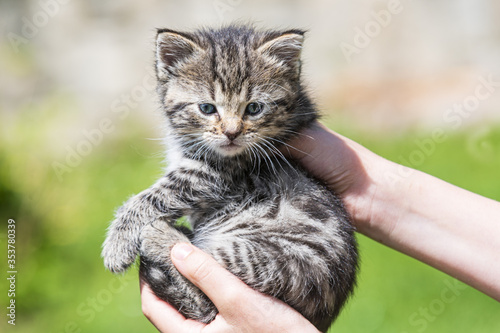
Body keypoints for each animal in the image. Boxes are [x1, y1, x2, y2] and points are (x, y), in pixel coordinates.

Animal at [101, 24, 358, 330]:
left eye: (254, 108)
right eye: (207, 108)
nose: (232, 133)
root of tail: (321, 315)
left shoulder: (216, 174)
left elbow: (156, 195)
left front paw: (117, 242)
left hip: (281, 260)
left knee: (206, 283)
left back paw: (160, 236)